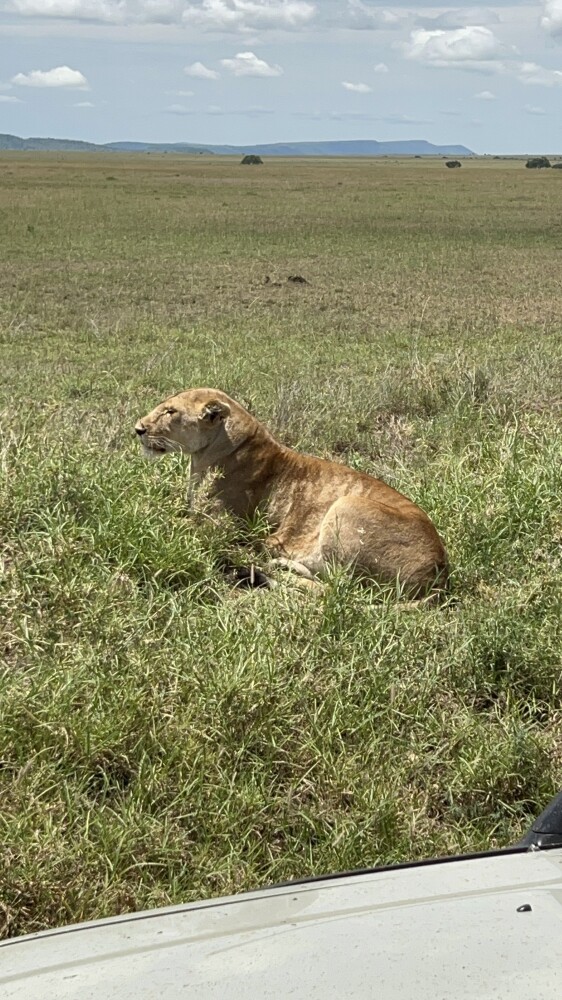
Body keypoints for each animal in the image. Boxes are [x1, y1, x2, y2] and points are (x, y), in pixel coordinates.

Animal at [135, 388, 449, 597]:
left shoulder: (219, 527)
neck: (205, 455)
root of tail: (439, 573)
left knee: (338, 589)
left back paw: (257, 568)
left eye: (171, 411)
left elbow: (172, 523)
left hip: (346, 504)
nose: (138, 429)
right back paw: (273, 562)